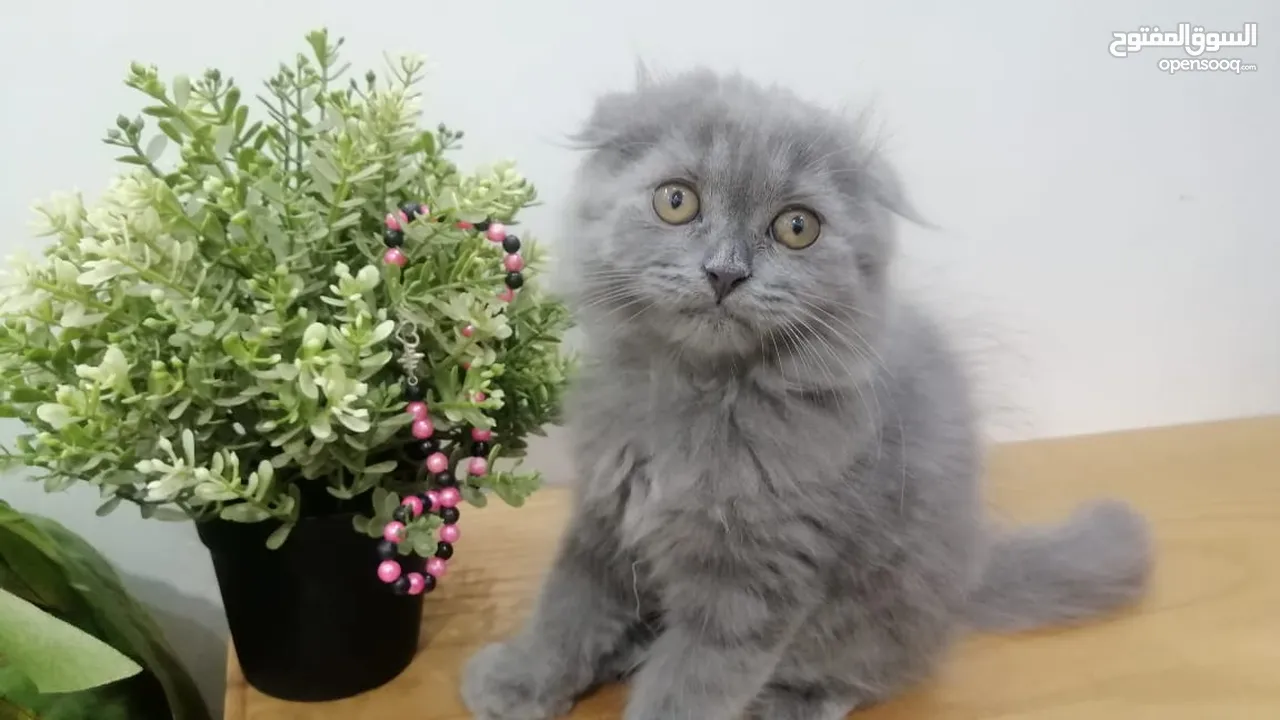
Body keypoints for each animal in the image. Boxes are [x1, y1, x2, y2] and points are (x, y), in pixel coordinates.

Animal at [458, 67, 1152, 717]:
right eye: (677, 201)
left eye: (797, 227)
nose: (725, 272)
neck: (698, 396)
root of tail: (970, 572)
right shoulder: (604, 518)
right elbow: (567, 611)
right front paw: (520, 680)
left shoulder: (754, 580)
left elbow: (689, 684)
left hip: (876, 613)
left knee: (868, 673)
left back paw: (787, 701)